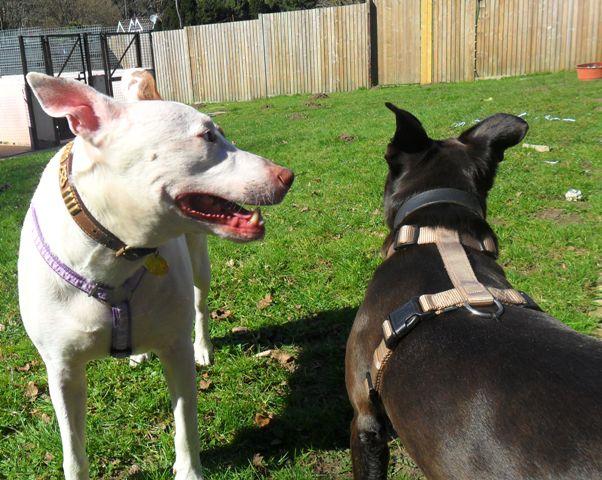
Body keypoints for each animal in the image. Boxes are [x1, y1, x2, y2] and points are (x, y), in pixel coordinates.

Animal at [17, 72, 292, 480]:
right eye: (207, 137)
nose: (287, 176)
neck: (113, 256)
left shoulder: (175, 349)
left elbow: (186, 423)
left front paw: (189, 471)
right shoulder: (62, 370)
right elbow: (74, 451)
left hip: (199, 263)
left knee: (201, 304)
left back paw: (204, 348)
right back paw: (137, 354)